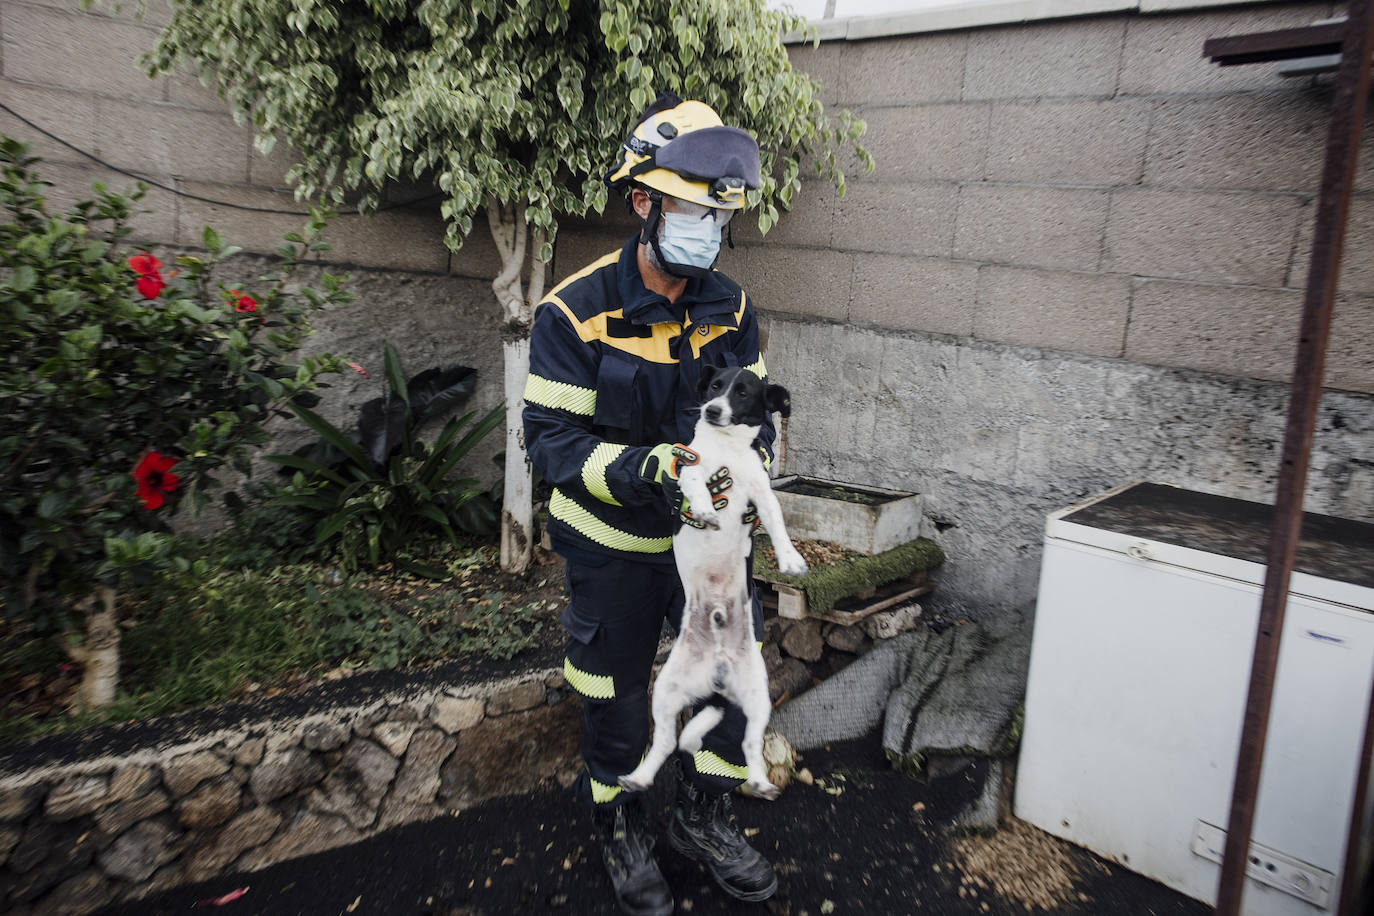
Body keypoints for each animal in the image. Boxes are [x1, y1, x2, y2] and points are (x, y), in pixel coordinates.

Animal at [621, 365, 807, 802]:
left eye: (744, 393)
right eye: (715, 386)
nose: (711, 410)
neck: (726, 452)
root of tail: (717, 675)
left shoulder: (762, 493)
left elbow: (777, 524)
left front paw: (790, 559)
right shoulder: (688, 467)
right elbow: (693, 481)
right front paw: (705, 509)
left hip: (757, 699)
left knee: (749, 744)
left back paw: (760, 781)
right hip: (666, 692)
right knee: (665, 743)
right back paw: (639, 777)